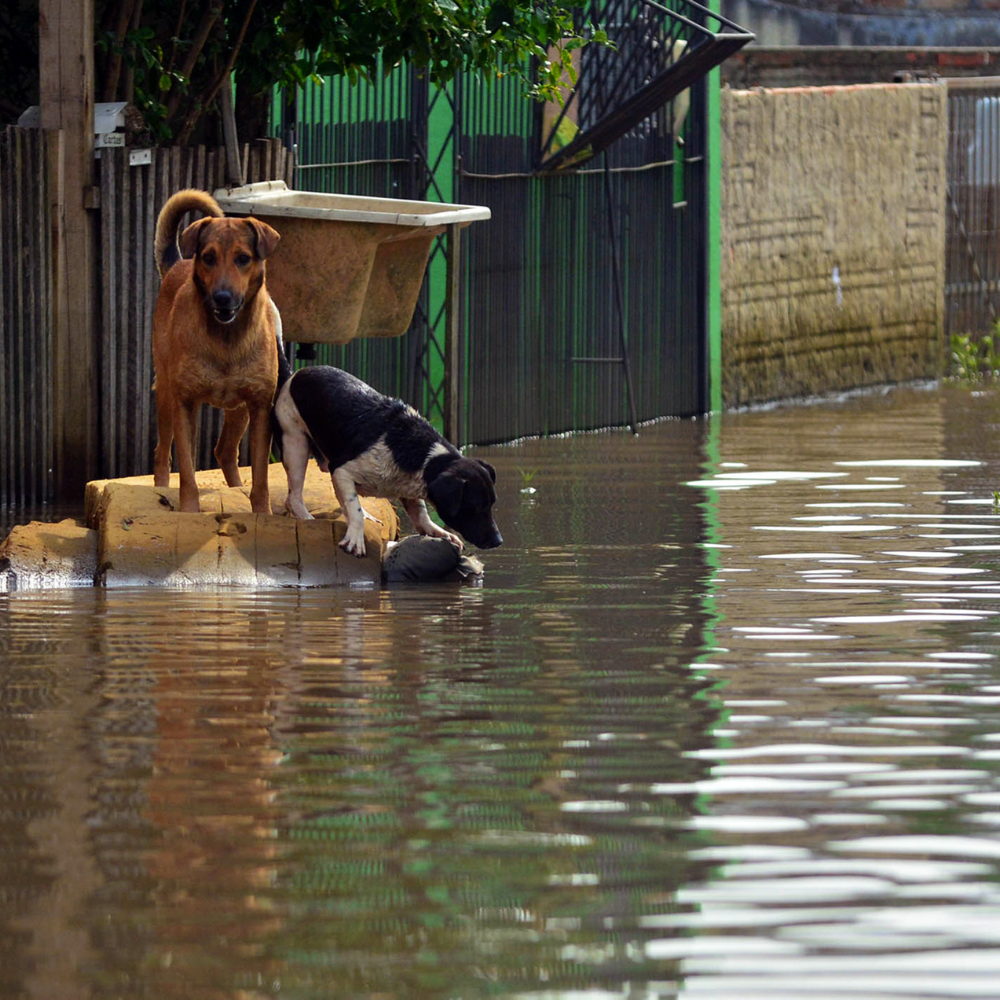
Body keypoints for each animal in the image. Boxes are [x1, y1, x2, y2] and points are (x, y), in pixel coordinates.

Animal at [150, 189, 282, 516]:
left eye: (243, 259)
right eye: (208, 257)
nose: (222, 298)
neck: (226, 339)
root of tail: (177, 264)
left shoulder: (260, 406)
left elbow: (261, 475)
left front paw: (263, 514)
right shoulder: (185, 403)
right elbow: (186, 470)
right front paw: (188, 511)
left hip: (240, 410)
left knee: (225, 451)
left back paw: (236, 488)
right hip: (166, 394)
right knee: (162, 453)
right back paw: (162, 489)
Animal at [272, 350, 500, 556]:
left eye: (491, 504)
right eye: (476, 508)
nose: (499, 541)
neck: (420, 455)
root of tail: (294, 375)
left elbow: (421, 514)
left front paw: (438, 532)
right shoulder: (342, 471)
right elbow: (354, 509)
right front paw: (355, 539)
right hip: (295, 445)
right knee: (294, 497)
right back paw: (307, 518)